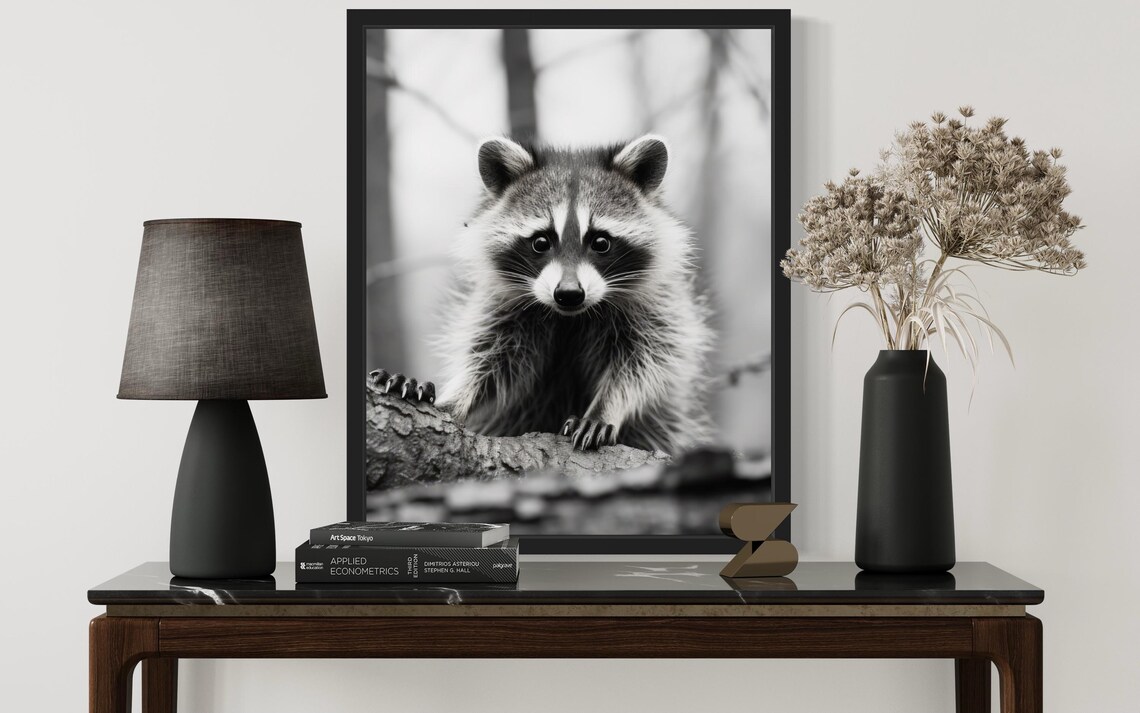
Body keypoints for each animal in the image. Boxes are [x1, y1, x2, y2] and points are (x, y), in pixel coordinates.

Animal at [373, 134, 714, 453]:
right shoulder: (502, 307)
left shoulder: (654, 308)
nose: (569, 294)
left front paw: (605, 408)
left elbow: (642, 365)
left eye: (601, 242)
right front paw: (454, 397)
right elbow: (490, 360)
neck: (570, 317)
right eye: (540, 242)